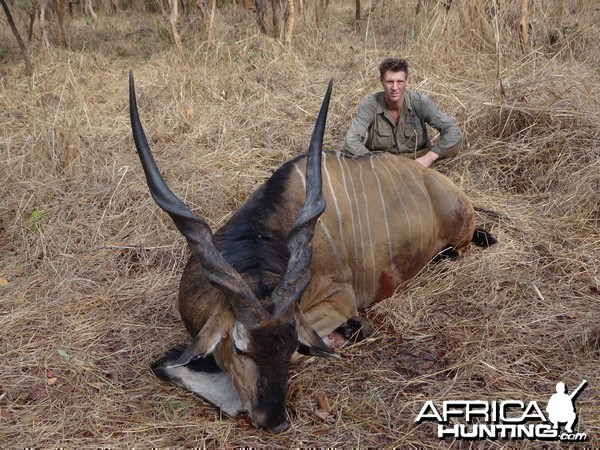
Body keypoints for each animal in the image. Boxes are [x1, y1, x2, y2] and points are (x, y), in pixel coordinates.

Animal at [130, 73, 496, 432]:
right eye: (239, 348)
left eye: (290, 343)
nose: (275, 422)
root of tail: (442, 184)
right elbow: (164, 365)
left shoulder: (339, 300)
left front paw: (351, 332)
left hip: (457, 242)